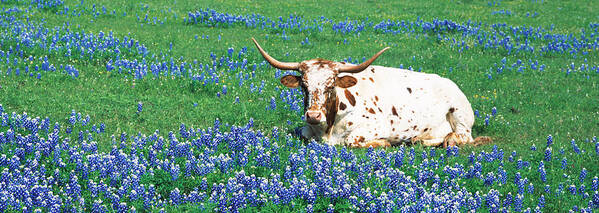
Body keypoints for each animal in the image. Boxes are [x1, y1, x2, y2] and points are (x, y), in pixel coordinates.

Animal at [251, 37, 490, 148]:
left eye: (331, 85)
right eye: (304, 86)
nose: (313, 115)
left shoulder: (374, 127)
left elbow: (351, 141)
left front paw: (384, 143)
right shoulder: (307, 130)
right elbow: (302, 134)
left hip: (459, 114)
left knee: (463, 136)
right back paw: (419, 139)